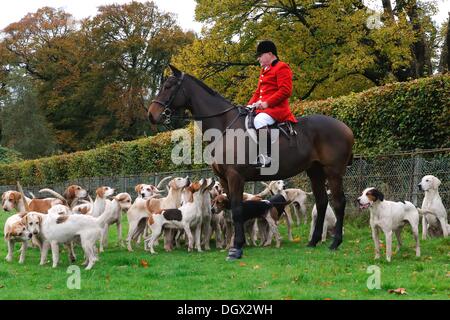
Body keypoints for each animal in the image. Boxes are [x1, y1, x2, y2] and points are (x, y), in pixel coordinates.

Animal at [148, 65, 356, 260]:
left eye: (168, 86)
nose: (151, 115)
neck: (225, 126)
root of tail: (345, 127)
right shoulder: (224, 179)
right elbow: (231, 209)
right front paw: (232, 244)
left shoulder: (236, 177)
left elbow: (238, 209)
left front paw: (237, 247)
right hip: (315, 171)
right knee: (321, 202)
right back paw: (313, 241)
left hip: (333, 172)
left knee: (339, 202)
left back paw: (335, 242)